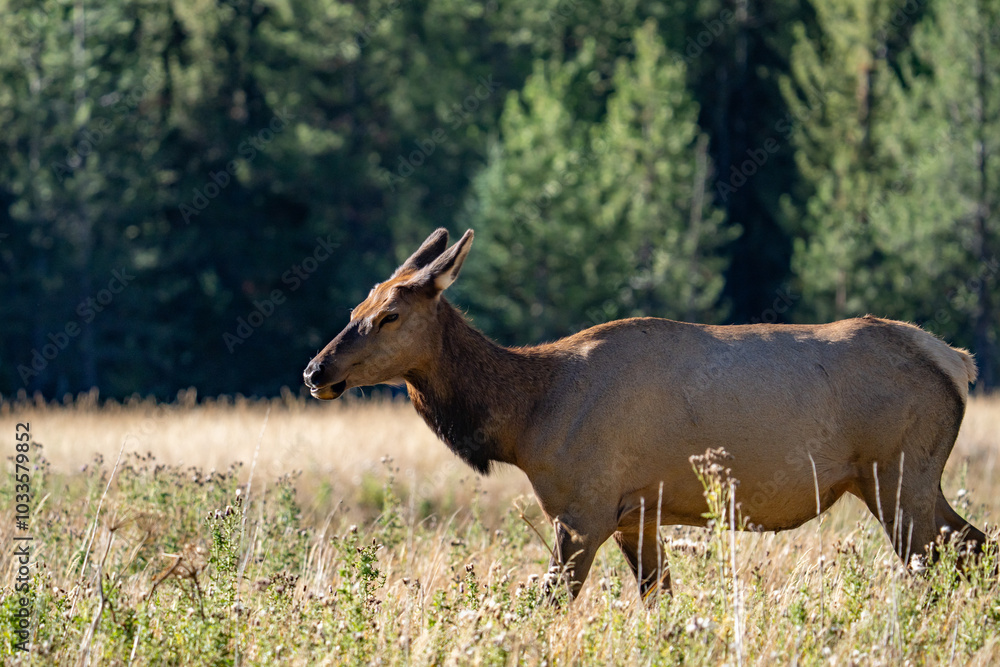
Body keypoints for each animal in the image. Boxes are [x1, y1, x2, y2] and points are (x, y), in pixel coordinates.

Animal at [303, 227, 989, 602]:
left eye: (390, 315)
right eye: (356, 306)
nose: (315, 371)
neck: (524, 419)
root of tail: (957, 361)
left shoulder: (585, 506)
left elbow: (549, 601)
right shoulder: (637, 513)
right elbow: (659, 602)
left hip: (897, 472)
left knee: (954, 555)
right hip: (907, 478)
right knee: (974, 546)